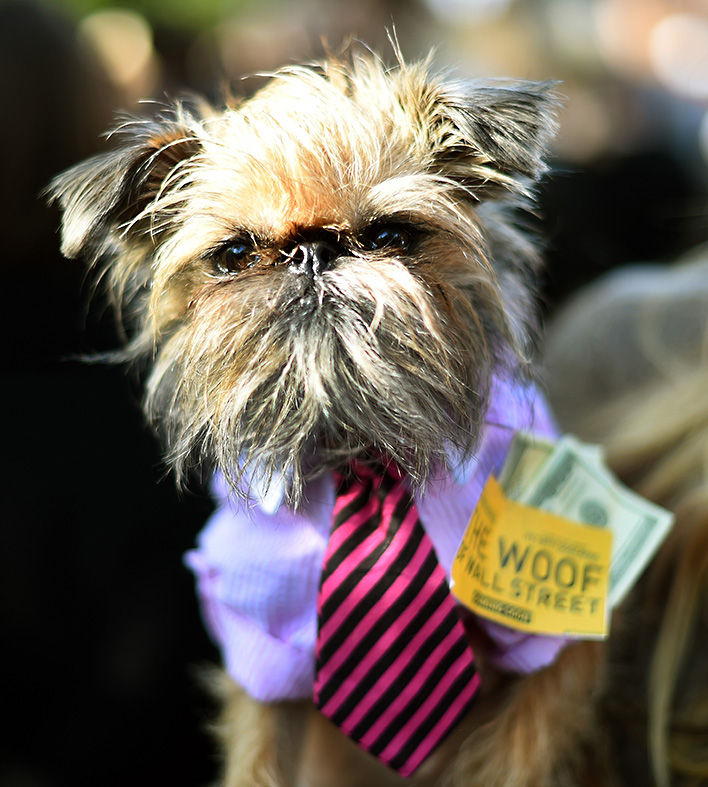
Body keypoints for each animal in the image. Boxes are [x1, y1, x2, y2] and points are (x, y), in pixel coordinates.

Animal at [48, 50, 632, 787]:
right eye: (234, 255)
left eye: (390, 235)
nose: (311, 251)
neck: (362, 450)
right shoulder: (264, 652)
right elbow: (259, 759)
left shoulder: (555, 638)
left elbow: (515, 756)